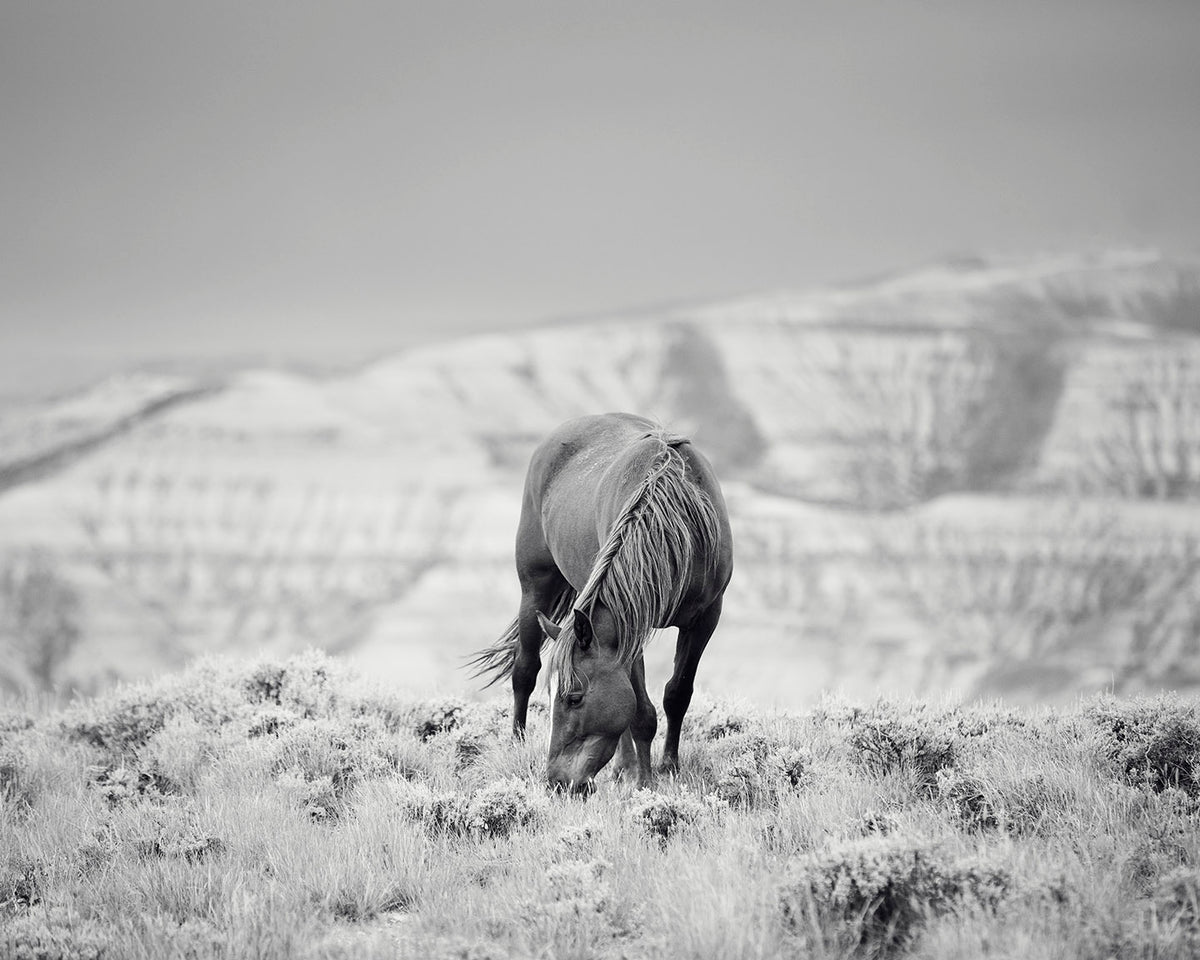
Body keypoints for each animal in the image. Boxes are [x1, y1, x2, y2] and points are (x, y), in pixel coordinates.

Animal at [468, 408, 729, 792]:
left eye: (574, 697)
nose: (557, 782)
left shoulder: (706, 618)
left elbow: (677, 694)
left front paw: (667, 768)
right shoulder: (633, 628)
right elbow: (641, 713)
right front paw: (644, 782)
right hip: (535, 590)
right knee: (524, 670)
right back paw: (518, 742)